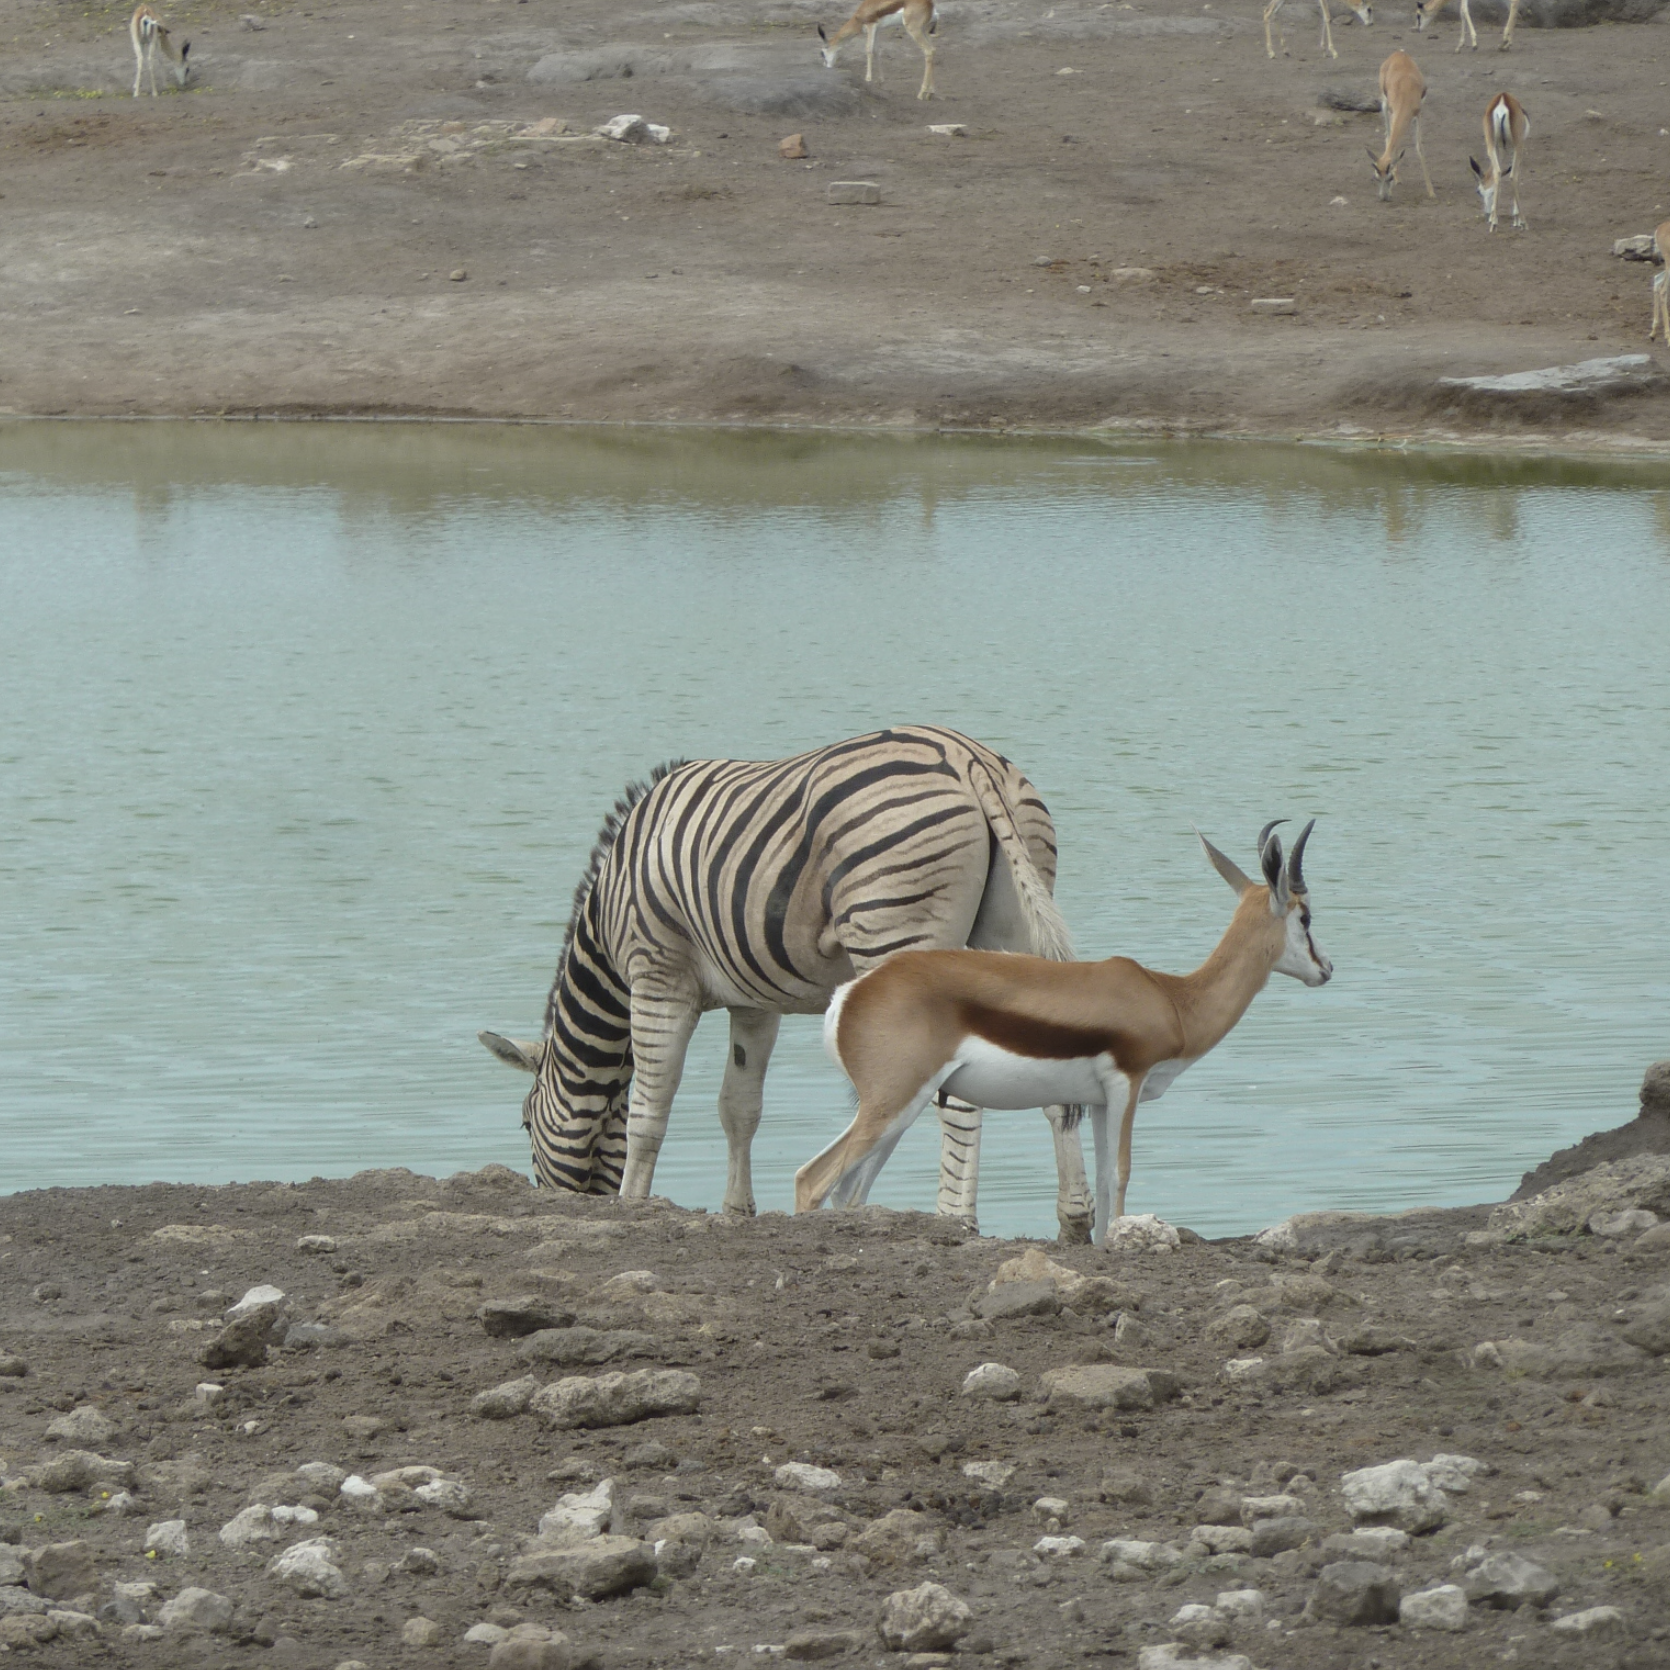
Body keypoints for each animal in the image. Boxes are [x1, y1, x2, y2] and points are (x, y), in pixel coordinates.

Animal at [479, 725, 1097, 1238]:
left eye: (522, 1125)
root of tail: (968, 759)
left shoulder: (657, 976)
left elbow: (648, 1114)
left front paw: (633, 1207)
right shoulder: (754, 1002)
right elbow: (740, 1107)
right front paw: (737, 1212)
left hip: (901, 940)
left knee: (958, 1097)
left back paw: (955, 1221)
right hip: (1012, 936)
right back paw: (1074, 1222)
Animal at [796, 821, 1332, 1245]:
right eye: (1305, 916)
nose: (1326, 969)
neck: (1173, 999)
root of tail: (851, 995)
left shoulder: (1097, 1100)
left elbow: (1102, 1177)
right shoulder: (1126, 1084)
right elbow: (1120, 1172)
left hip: (900, 1110)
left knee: (847, 1190)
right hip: (892, 1104)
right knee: (810, 1178)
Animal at [1369, 51, 1434, 202]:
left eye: (1389, 177)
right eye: (1376, 178)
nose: (1384, 197)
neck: (1406, 92)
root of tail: (1399, 53)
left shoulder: (1418, 114)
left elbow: (1419, 147)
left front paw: (1431, 191)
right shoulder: (1393, 112)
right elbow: (1391, 140)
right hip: (1384, 105)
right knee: (1388, 136)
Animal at [1470, 92, 1528, 231]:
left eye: (1478, 192)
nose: (1486, 214)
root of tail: (1502, 98)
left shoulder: (1501, 146)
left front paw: (1493, 217)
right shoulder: (1518, 146)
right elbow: (1515, 173)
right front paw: (1516, 219)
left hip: (1491, 143)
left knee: (1497, 172)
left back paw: (1493, 223)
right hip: (1518, 145)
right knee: (1513, 176)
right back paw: (1524, 222)